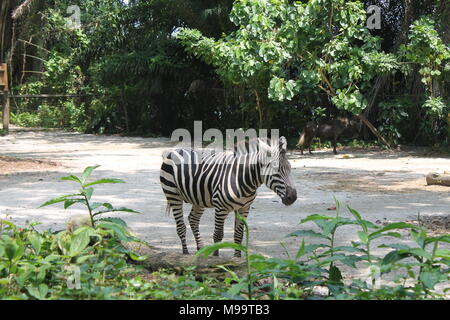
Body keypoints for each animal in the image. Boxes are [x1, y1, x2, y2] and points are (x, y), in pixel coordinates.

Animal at [160, 136, 298, 256]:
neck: (241, 178)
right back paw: (185, 254)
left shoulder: (244, 208)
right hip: (173, 194)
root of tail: (176, 150)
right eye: (276, 171)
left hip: (198, 198)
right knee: (181, 227)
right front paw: (216, 258)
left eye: (290, 167)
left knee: (193, 220)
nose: (293, 197)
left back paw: (200, 250)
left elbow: (238, 235)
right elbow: (218, 235)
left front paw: (237, 259)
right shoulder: (220, 208)